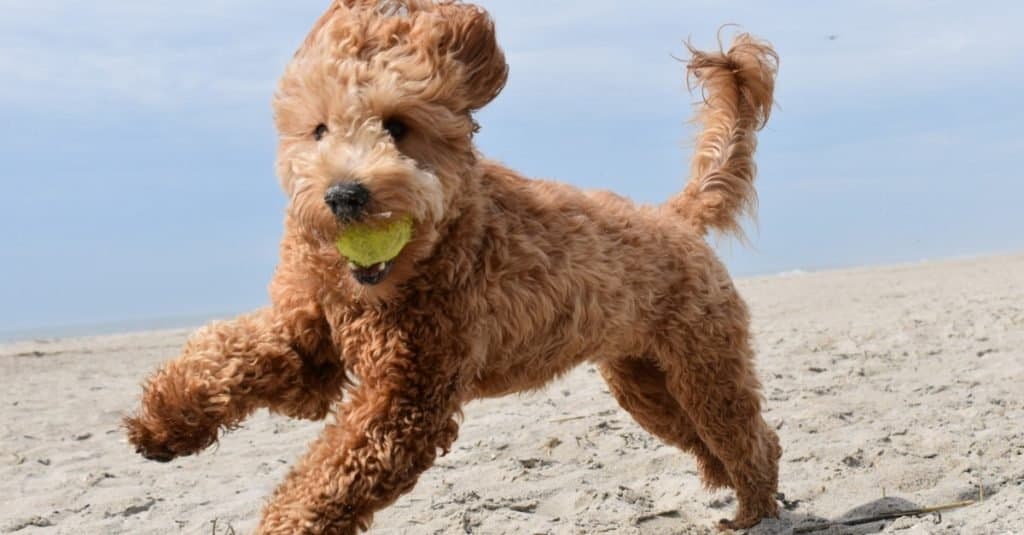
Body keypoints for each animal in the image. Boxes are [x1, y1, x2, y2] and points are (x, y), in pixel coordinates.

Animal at [123, 2, 778, 528]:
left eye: (398, 126)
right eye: (318, 130)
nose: (344, 196)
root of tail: (674, 217)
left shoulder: (408, 397)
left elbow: (328, 476)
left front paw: (289, 521)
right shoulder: (310, 335)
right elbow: (228, 353)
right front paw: (163, 422)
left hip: (705, 367)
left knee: (750, 438)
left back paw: (752, 510)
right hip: (645, 381)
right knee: (711, 438)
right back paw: (730, 491)